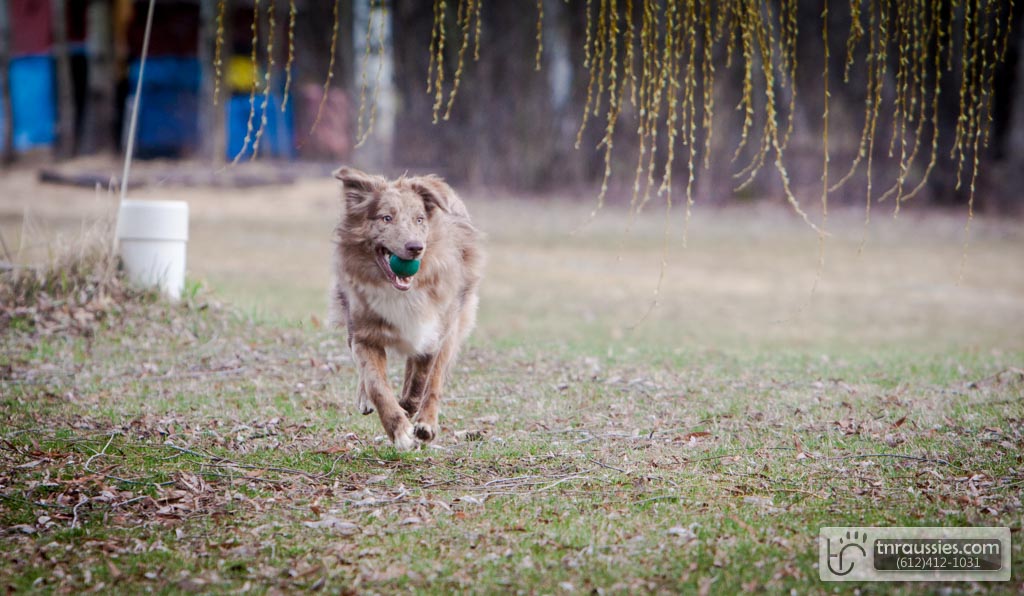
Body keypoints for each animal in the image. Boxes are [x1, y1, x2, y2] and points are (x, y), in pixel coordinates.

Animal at [330, 167, 483, 450]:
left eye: (419, 219)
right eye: (386, 218)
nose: (415, 248)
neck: (400, 292)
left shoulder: (433, 332)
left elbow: (423, 380)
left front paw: (412, 412)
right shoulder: (364, 333)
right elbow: (376, 383)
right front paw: (399, 429)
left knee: (434, 380)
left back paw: (425, 422)